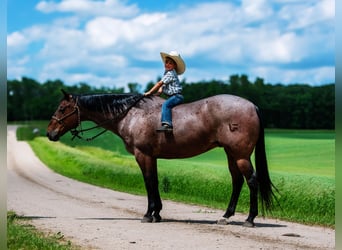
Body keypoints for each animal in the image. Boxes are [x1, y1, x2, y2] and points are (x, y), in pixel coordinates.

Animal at [46, 89, 276, 227]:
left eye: (62, 108)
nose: (50, 133)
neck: (131, 114)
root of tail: (252, 106)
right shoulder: (152, 157)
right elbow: (155, 182)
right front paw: (157, 213)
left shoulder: (143, 155)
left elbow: (149, 182)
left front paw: (149, 214)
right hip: (232, 155)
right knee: (237, 181)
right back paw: (226, 216)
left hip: (240, 155)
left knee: (251, 181)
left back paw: (250, 218)